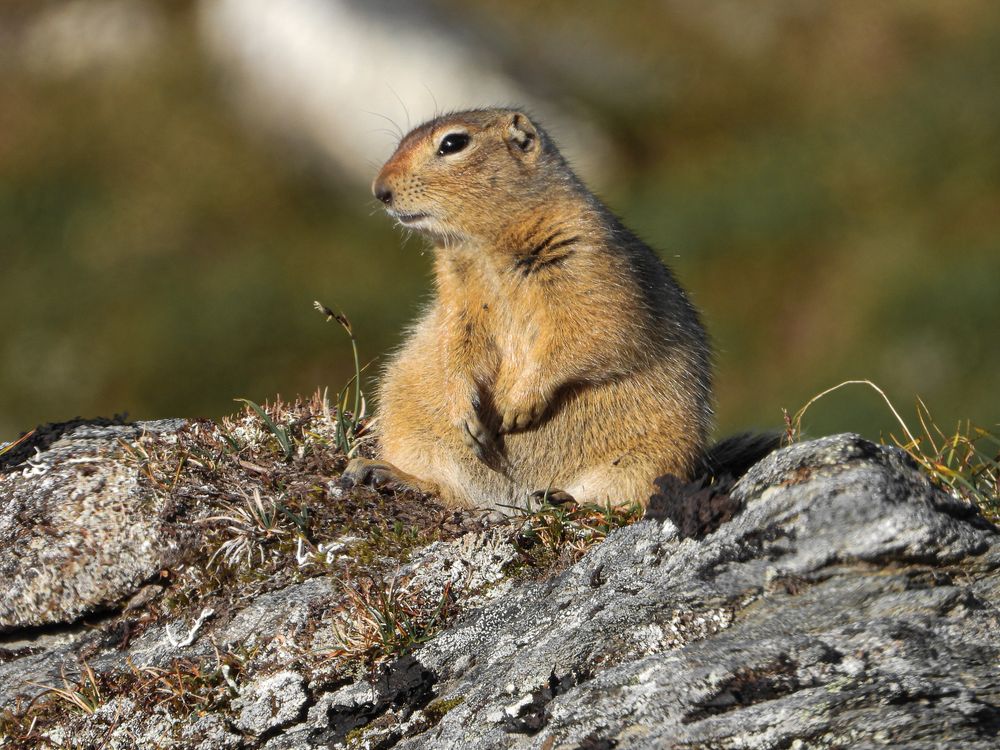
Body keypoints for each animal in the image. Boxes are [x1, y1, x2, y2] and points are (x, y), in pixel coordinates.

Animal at [344, 107, 726, 509]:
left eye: (453, 143)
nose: (379, 191)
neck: (483, 248)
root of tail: (509, 498)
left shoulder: (586, 255)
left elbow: (595, 326)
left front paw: (518, 407)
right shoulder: (456, 299)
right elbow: (456, 343)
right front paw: (465, 412)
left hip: (659, 453)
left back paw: (564, 497)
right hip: (405, 417)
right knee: (448, 490)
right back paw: (383, 472)